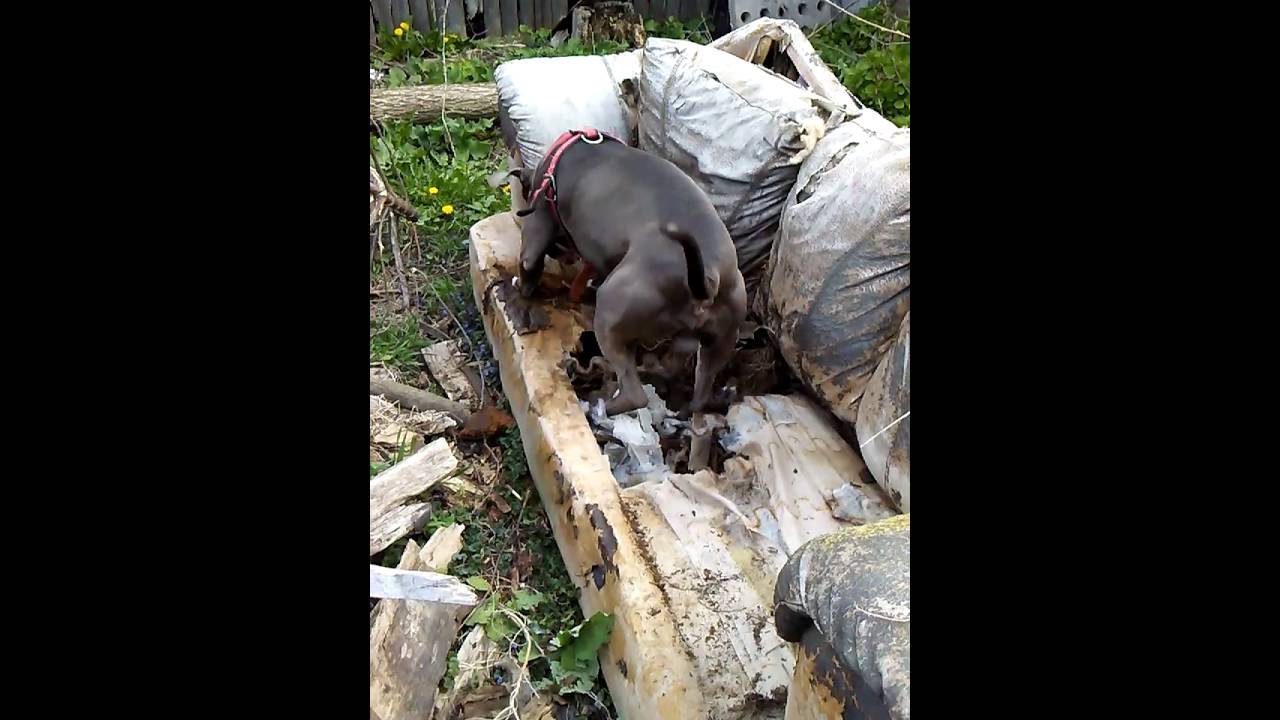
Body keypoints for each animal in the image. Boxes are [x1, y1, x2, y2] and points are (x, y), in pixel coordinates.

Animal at [512, 130, 747, 415]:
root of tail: (707, 278)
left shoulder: (538, 228)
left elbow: (529, 265)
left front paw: (519, 286)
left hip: (610, 314)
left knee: (634, 393)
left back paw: (600, 406)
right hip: (719, 336)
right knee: (697, 389)